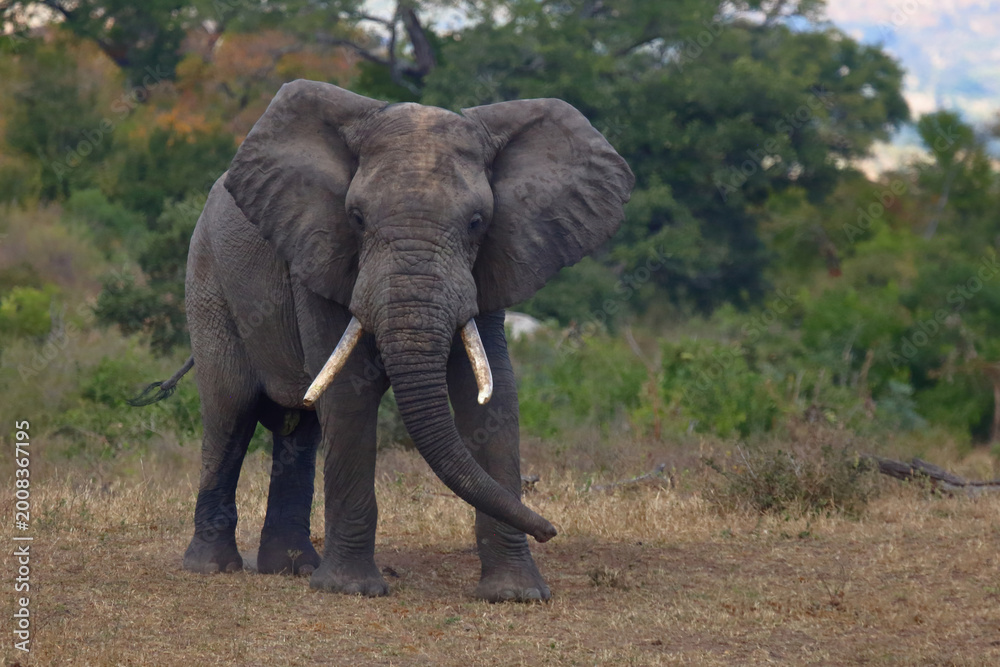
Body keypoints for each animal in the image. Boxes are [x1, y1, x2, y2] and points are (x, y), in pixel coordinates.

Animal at [140, 80, 634, 601]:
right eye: (356, 218)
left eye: (478, 222)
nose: (550, 529)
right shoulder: (321, 252)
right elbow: (351, 391)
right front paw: (350, 590)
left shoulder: (493, 264)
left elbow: (490, 395)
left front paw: (515, 595)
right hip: (207, 277)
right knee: (230, 410)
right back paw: (213, 568)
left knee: (300, 430)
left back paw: (291, 568)